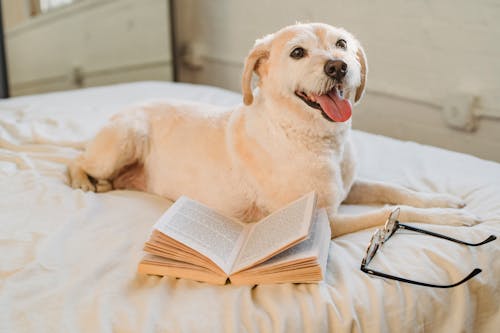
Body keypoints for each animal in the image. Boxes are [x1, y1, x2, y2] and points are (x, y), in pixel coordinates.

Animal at [68, 23, 478, 236]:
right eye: (297, 53)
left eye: (342, 44)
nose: (338, 66)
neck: (315, 138)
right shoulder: (325, 220)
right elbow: (390, 212)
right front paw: (449, 220)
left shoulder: (350, 188)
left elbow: (394, 190)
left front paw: (442, 201)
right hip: (126, 137)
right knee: (76, 161)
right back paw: (85, 180)